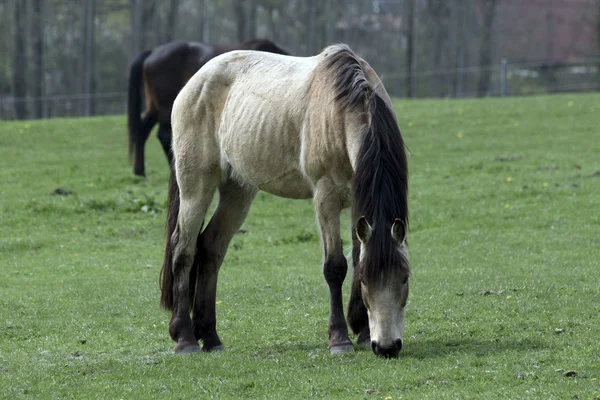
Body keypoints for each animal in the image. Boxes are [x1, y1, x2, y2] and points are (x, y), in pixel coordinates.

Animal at [126, 39, 288, 177]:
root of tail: (153, 51)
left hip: (156, 107)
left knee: (142, 131)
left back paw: (140, 170)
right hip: (165, 107)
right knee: (163, 135)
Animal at [159, 44, 410, 360]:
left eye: (405, 277)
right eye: (367, 281)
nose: (387, 346)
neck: (343, 108)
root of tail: (193, 84)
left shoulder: (357, 203)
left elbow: (356, 257)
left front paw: (363, 331)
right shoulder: (326, 198)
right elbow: (336, 267)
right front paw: (340, 339)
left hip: (238, 192)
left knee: (211, 248)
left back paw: (211, 337)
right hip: (195, 186)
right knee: (183, 250)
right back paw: (185, 338)